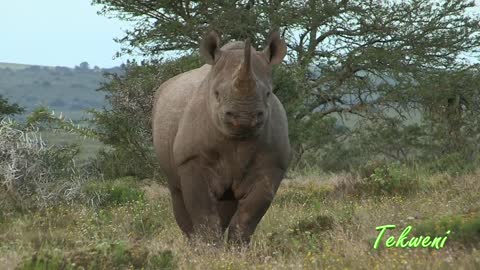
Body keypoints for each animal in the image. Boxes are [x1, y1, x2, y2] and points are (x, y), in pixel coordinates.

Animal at [152, 30, 290, 244]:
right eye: (216, 94)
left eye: (268, 94)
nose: (243, 116)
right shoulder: (192, 160)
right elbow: (205, 215)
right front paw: (207, 248)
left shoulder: (272, 165)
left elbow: (247, 217)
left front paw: (236, 249)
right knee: (177, 192)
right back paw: (193, 243)